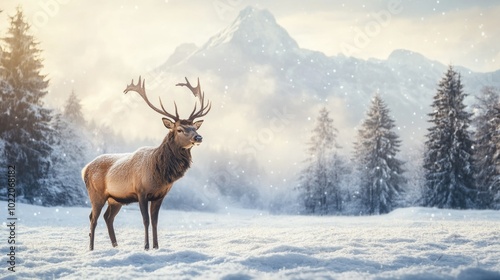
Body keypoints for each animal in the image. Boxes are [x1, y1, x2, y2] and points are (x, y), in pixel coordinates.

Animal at [81, 75, 210, 250]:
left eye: (194, 128)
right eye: (180, 129)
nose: (198, 137)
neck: (160, 173)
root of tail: (84, 169)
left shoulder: (160, 195)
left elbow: (155, 221)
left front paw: (156, 246)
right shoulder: (141, 192)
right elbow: (146, 220)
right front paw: (146, 246)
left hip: (115, 199)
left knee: (108, 217)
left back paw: (116, 246)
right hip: (96, 193)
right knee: (93, 218)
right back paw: (91, 248)